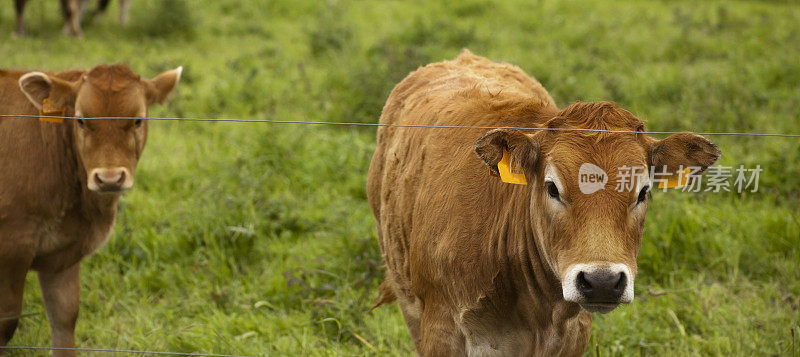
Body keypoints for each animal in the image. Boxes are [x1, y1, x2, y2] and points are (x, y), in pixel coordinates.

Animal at [0, 63, 181, 354]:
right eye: (81, 120)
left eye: (137, 120)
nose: (109, 178)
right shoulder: (11, 248)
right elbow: (6, 322)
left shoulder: (62, 254)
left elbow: (64, 319)